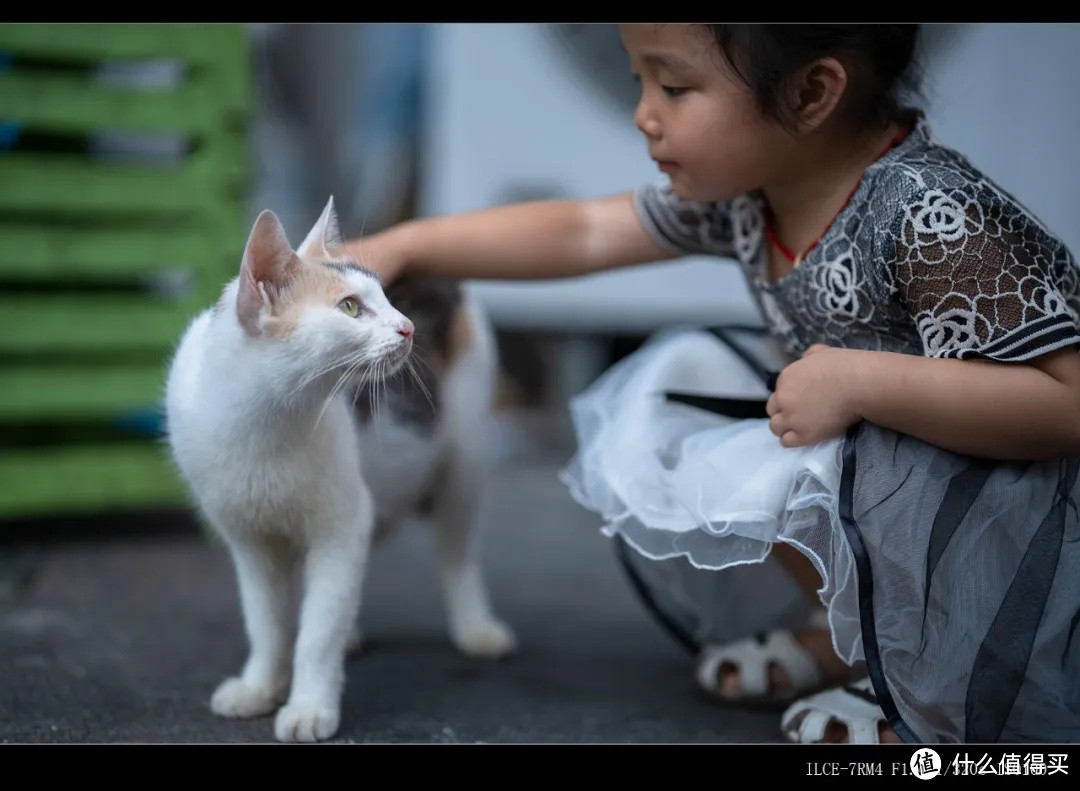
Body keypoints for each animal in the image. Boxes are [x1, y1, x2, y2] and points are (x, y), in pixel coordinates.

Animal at [165, 197, 518, 743]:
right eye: (350, 307)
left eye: (386, 297)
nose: (408, 327)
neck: (265, 424)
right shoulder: (250, 541)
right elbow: (267, 624)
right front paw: (259, 688)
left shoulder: (341, 524)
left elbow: (317, 631)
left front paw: (309, 706)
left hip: (466, 458)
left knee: (456, 553)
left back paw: (476, 629)